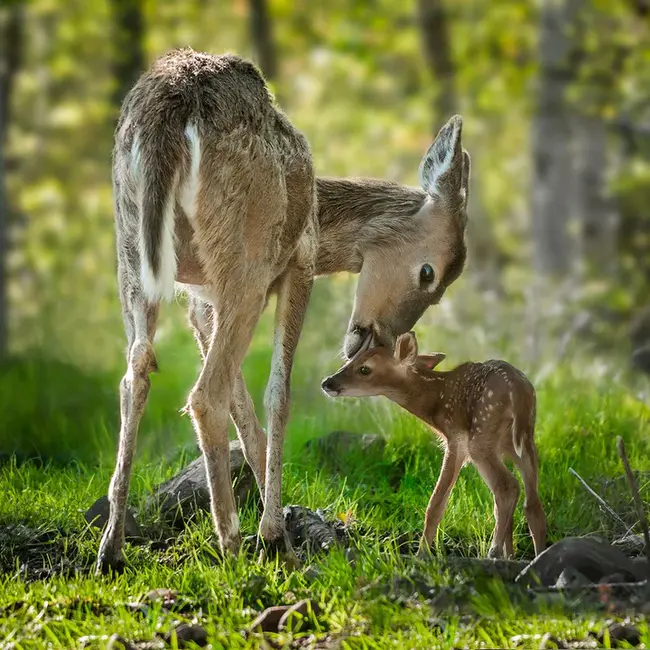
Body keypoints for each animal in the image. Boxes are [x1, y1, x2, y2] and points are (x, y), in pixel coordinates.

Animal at [96, 48, 468, 568]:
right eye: (429, 275)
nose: (376, 338)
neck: (320, 216)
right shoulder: (299, 264)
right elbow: (278, 393)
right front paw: (274, 535)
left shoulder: (200, 300)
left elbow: (244, 403)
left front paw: (283, 531)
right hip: (245, 254)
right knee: (204, 394)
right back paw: (230, 544)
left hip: (131, 248)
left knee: (136, 375)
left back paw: (111, 547)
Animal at [322, 332, 544, 556]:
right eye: (349, 361)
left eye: (364, 368)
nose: (327, 382)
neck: (435, 402)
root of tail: (518, 390)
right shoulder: (501, 448)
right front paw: (511, 555)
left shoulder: (455, 439)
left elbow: (436, 503)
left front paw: (422, 554)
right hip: (525, 440)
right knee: (532, 502)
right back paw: (537, 553)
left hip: (481, 435)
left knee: (507, 488)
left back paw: (494, 551)